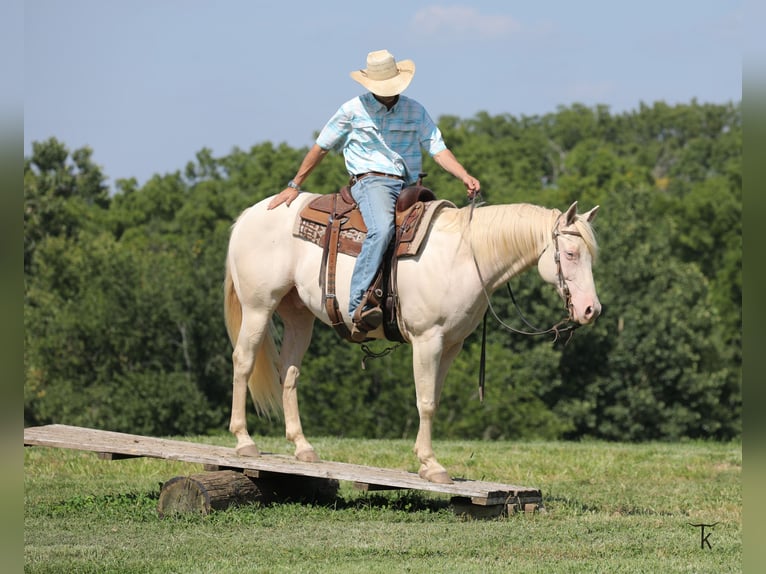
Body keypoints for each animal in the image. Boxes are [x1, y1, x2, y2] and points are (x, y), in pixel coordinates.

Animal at [223, 195, 601, 484]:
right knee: (243, 361)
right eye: (570, 254)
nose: (590, 310)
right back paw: (244, 441)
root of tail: (250, 214)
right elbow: (426, 402)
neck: (465, 258)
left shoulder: (451, 345)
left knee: (289, 372)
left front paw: (426, 460)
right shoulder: (427, 340)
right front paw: (432, 466)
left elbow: (434, 399)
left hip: (299, 315)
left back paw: (303, 447)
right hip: (258, 307)